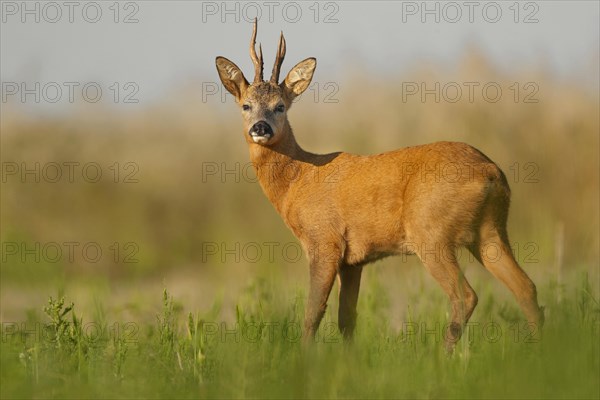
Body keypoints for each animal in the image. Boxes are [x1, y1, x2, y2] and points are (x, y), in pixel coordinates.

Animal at [216, 18, 544, 350]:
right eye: (246, 105)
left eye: (280, 106)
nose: (261, 128)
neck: (298, 180)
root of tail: (491, 171)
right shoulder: (353, 260)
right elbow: (347, 319)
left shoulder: (324, 242)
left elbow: (313, 313)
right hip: (489, 231)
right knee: (526, 286)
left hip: (430, 231)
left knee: (466, 295)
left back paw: (444, 354)